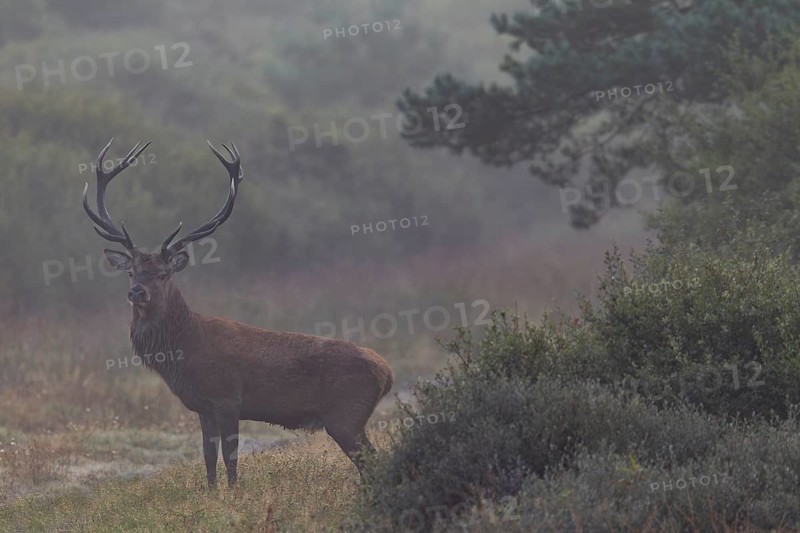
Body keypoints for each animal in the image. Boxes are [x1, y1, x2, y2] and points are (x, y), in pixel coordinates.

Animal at [82, 139, 393, 487]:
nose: (136, 292)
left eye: (162, 274)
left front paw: (233, 492)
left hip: (346, 415)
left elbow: (230, 459)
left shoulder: (228, 398)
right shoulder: (203, 407)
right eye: (131, 272)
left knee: (374, 462)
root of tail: (387, 372)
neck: (185, 351)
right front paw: (211, 492)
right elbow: (208, 458)